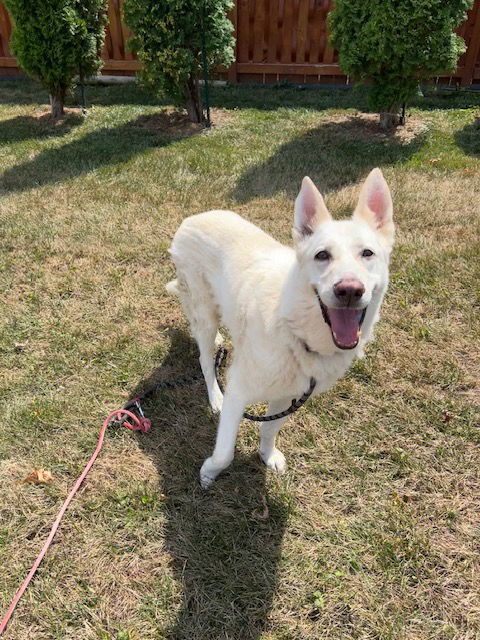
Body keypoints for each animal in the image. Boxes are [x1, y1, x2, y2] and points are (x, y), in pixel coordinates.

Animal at [168, 168, 394, 488]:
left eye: (367, 253)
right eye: (322, 255)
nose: (349, 290)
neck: (296, 332)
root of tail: (193, 218)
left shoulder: (289, 396)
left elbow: (269, 429)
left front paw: (267, 455)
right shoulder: (238, 393)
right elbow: (225, 453)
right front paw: (209, 472)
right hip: (204, 314)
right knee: (204, 358)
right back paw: (214, 396)